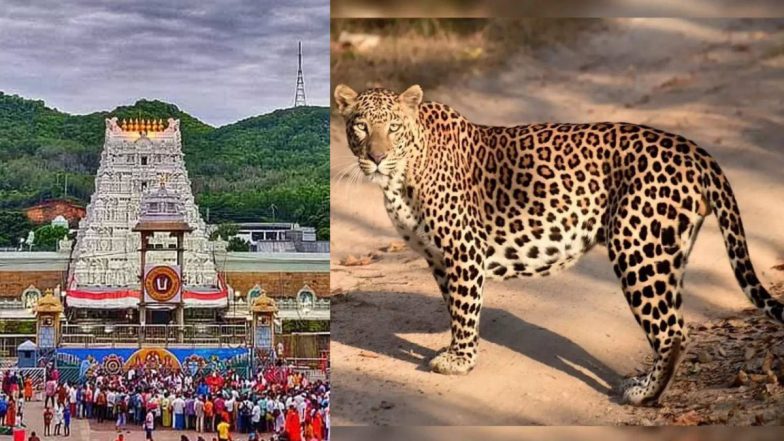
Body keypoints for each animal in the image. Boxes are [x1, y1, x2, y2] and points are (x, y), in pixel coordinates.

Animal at [333, 83, 784, 406]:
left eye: (392, 128)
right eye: (361, 126)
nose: (376, 157)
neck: (402, 176)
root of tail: (694, 150)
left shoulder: (463, 251)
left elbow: (463, 308)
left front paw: (459, 361)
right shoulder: (439, 258)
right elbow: (454, 306)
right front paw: (458, 351)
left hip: (637, 249)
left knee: (672, 330)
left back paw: (643, 394)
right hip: (668, 251)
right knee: (673, 322)